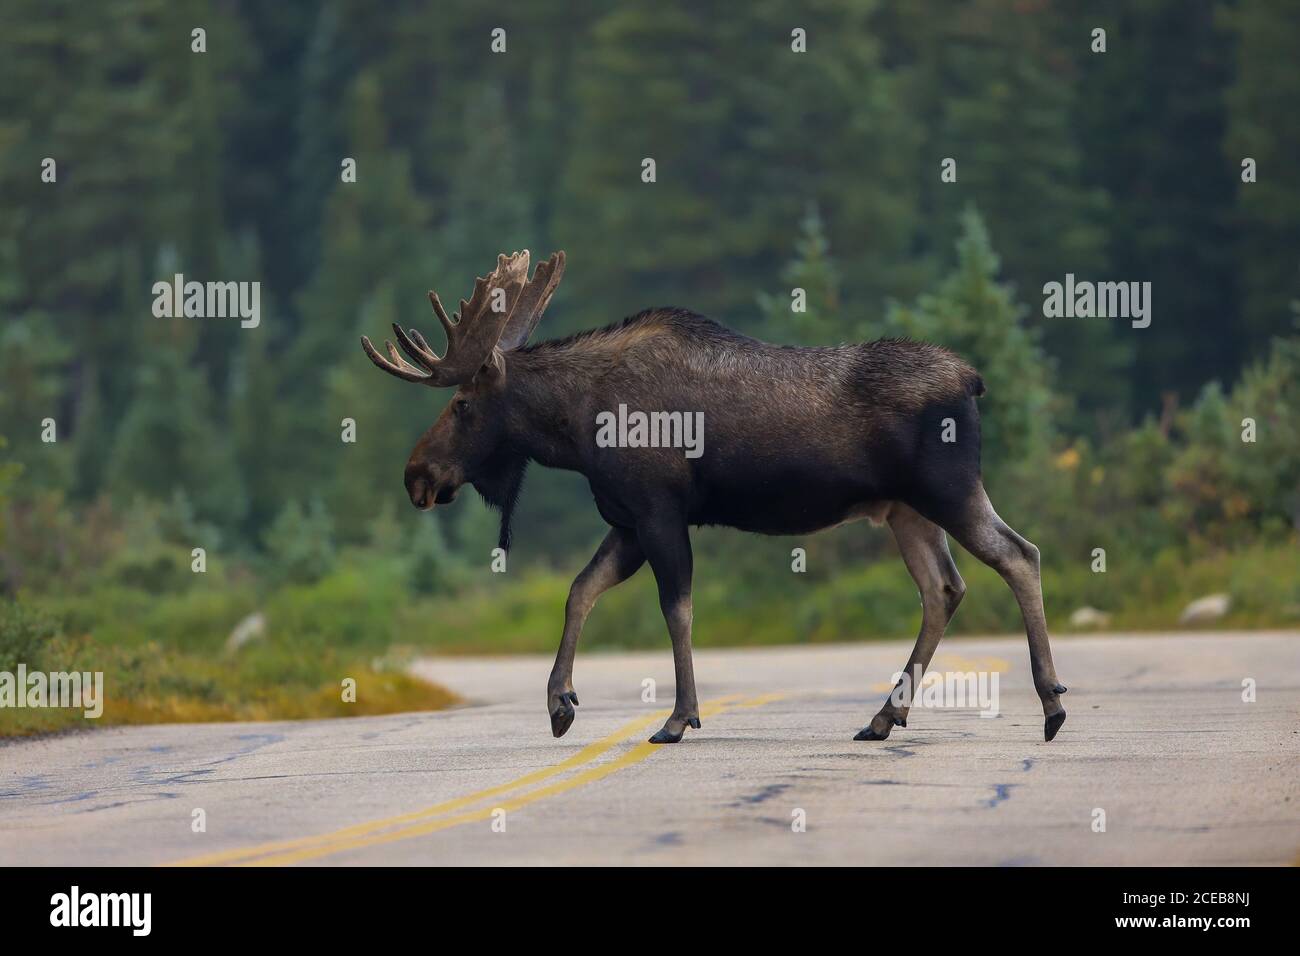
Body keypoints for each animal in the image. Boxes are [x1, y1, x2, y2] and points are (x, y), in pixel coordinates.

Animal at [364, 252, 1066, 749]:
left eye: (462, 404)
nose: (415, 475)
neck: (577, 427)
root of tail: (974, 381)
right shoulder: (626, 518)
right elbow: (580, 590)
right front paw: (560, 703)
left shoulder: (658, 508)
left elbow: (677, 608)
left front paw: (678, 717)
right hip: (905, 510)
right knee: (944, 588)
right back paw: (882, 718)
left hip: (946, 488)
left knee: (1019, 554)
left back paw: (1052, 703)